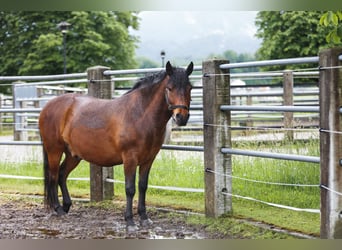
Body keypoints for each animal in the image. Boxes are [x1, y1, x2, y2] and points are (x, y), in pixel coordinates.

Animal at [38, 61, 194, 230]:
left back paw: (66, 206)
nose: (181, 117)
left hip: (73, 155)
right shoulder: (130, 158)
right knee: (53, 176)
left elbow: (143, 186)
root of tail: (48, 106)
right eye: (169, 88)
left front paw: (144, 218)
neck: (140, 114)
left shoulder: (148, 159)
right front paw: (130, 221)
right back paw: (58, 209)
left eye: (189, 88)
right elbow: (130, 189)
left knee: (62, 174)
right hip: (54, 150)